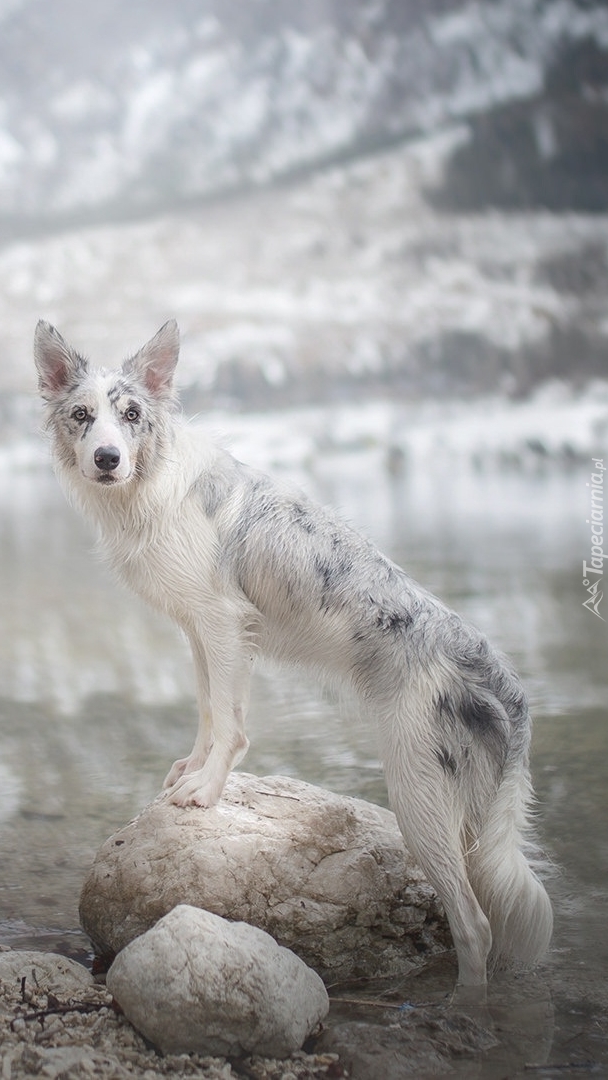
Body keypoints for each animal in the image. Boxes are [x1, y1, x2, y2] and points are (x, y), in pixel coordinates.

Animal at [35, 315, 552, 989]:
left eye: (130, 415)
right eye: (81, 415)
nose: (106, 458)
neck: (150, 483)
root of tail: (505, 683)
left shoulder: (225, 623)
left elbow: (230, 724)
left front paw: (206, 791)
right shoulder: (202, 630)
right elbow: (209, 711)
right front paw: (191, 770)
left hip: (420, 799)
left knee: (475, 927)